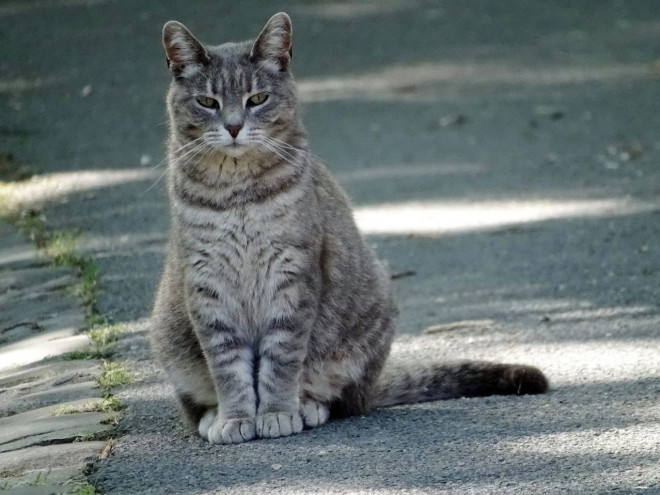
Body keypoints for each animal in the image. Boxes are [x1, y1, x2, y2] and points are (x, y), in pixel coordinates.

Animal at [152, 12, 548, 446]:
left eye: (257, 99)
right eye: (208, 102)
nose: (235, 127)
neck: (237, 192)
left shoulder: (293, 275)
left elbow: (281, 359)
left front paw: (276, 412)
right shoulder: (207, 282)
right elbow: (226, 363)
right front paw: (236, 416)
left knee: (343, 399)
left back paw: (307, 406)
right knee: (195, 404)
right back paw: (212, 415)